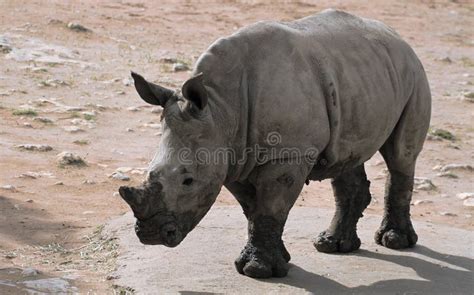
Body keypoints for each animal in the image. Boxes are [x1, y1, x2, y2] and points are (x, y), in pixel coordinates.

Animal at [118, 8, 430, 278]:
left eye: (188, 181)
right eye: (149, 172)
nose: (150, 235)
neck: (221, 110)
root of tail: (396, 36)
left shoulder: (285, 156)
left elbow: (270, 208)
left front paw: (258, 272)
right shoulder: (232, 156)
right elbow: (253, 209)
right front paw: (276, 260)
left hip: (413, 74)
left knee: (401, 156)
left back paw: (393, 241)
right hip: (361, 79)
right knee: (344, 157)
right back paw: (332, 245)